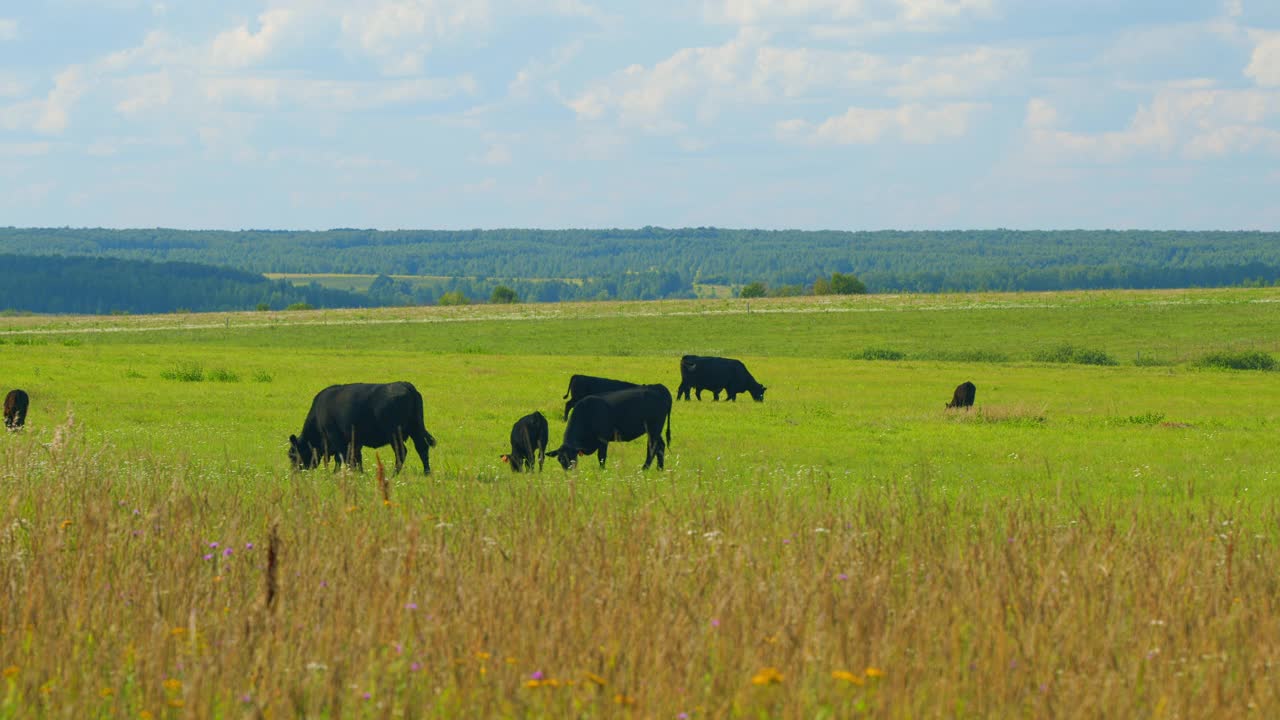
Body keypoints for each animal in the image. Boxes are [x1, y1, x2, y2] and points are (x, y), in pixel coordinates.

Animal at [289, 379, 437, 474]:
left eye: (292, 455)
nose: (295, 473)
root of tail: (405, 384)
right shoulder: (355, 441)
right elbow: (355, 457)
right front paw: (359, 473)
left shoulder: (336, 438)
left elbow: (342, 457)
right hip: (415, 429)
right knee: (422, 448)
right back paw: (426, 472)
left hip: (395, 434)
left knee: (402, 451)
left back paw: (393, 474)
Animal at [545, 381, 675, 471]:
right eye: (560, 459)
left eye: (573, 458)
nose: (568, 472)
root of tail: (657, 387)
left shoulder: (603, 439)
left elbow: (601, 457)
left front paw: (602, 470)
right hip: (655, 430)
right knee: (660, 446)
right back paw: (659, 468)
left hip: (653, 428)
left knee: (652, 447)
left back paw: (645, 468)